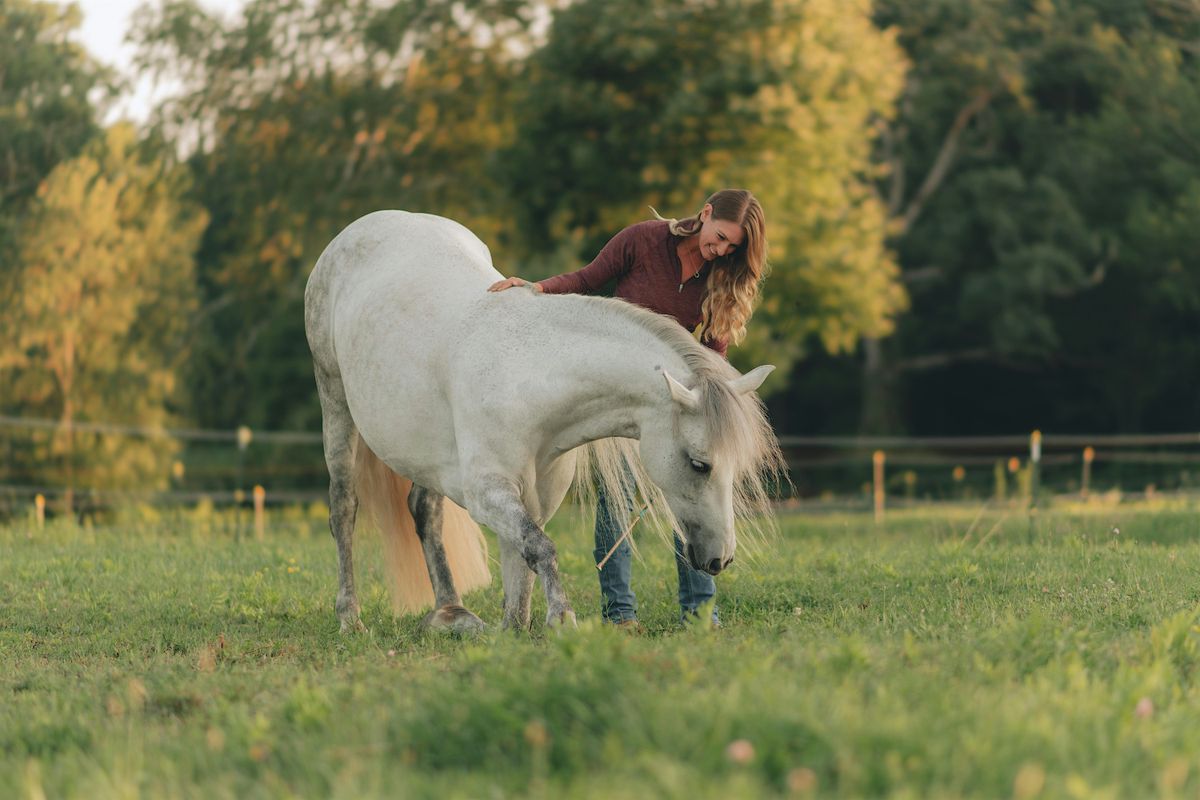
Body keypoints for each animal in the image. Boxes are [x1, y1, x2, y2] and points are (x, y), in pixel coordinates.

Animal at [304, 211, 782, 633]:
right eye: (700, 464)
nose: (720, 559)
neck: (527, 376)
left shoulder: (536, 498)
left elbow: (523, 564)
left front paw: (515, 630)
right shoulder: (489, 494)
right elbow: (540, 547)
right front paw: (561, 618)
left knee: (425, 511)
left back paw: (451, 613)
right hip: (334, 400)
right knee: (343, 508)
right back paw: (350, 617)